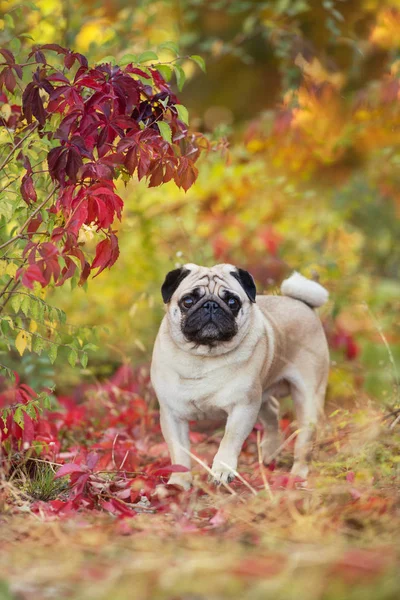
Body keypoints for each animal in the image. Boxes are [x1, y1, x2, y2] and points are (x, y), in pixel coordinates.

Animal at [150, 264, 328, 490]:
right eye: (188, 301)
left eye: (232, 302)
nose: (210, 305)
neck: (203, 358)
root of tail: (303, 304)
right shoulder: (173, 415)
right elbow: (179, 452)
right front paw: (179, 483)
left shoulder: (243, 407)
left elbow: (229, 439)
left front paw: (222, 471)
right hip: (261, 396)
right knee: (273, 412)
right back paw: (269, 452)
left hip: (307, 399)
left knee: (304, 438)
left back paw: (297, 475)